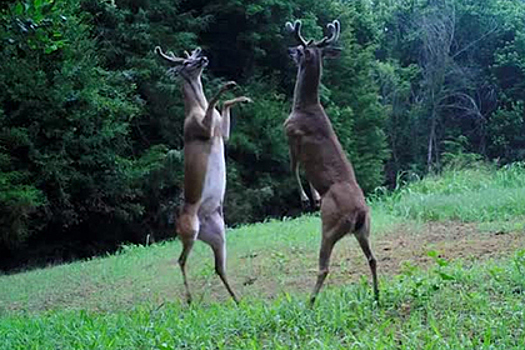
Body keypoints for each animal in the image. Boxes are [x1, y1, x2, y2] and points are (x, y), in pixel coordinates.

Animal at [155, 45, 251, 304]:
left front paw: (243, 97)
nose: (202, 55)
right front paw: (228, 85)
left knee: (218, 267)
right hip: (190, 231)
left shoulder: (221, 134)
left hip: (218, 233)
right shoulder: (203, 130)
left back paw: (238, 300)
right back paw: (189, 299)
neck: (194, 109)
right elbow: (214, 102)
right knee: (181, 260)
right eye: (186, 62)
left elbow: (222, 107)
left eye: (192, 56)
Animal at [284, 19, 378, 304]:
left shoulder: (291, 134)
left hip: (329, 224)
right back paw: (377, 295)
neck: (304, 106)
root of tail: (359, 213)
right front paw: (313, 196)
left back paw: (310, 302)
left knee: (324, 267)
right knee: (373, 258)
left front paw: (306, 199)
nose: (289, 51)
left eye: (300, 48)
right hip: (364, 229)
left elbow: (293, 168)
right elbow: (303, 172)